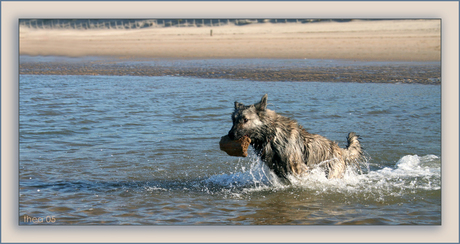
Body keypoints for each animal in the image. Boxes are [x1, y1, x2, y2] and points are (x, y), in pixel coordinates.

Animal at [226, 94, 362, 182]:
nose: (231, 135)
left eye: (245, 120)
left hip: (332, 173)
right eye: (233, 120)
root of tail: (341, 151)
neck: (272, 134)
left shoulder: (298, 169)